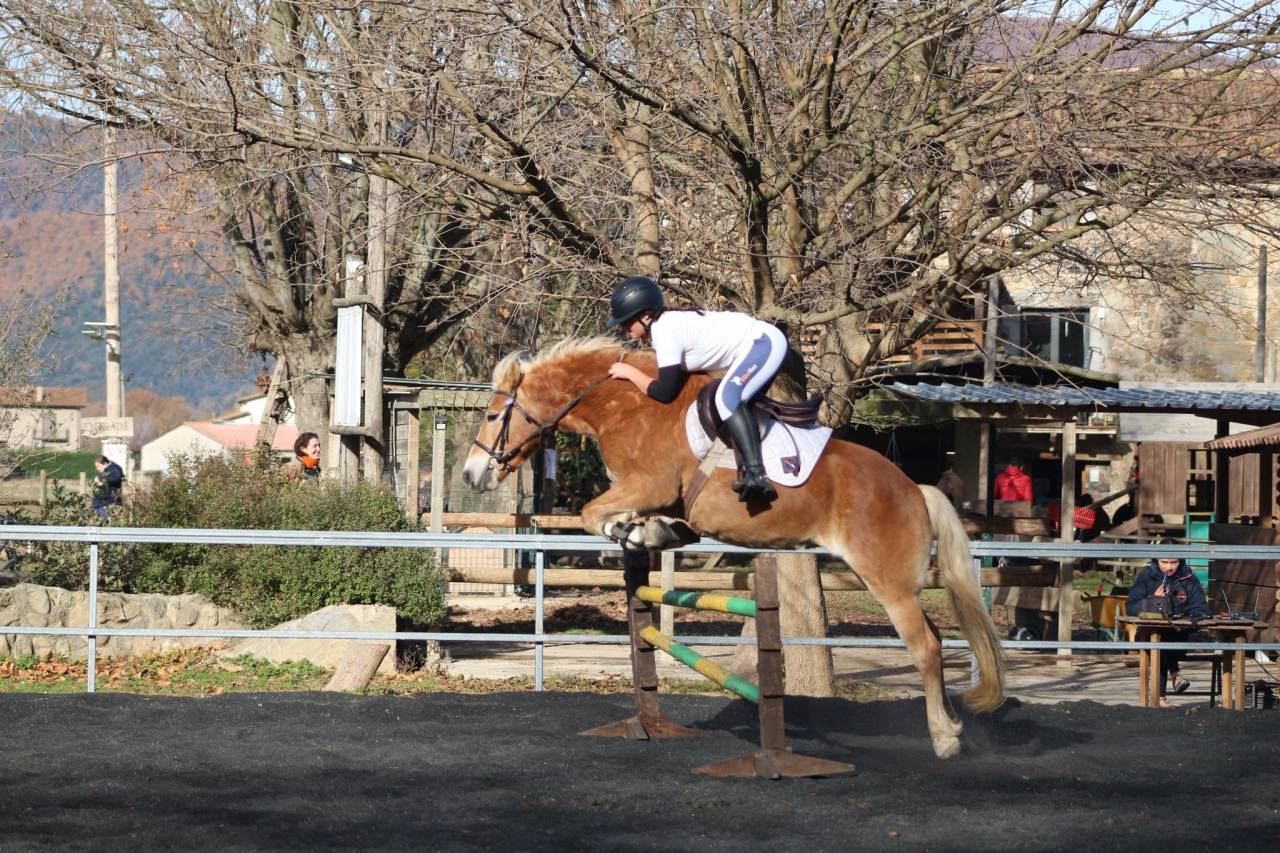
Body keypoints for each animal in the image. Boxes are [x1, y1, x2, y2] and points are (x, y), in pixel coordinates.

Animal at [462, 337, 1005, 759]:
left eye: (490, 414)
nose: (471, 474)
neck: (627, 405)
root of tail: (915, 489)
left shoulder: (650, 484)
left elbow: (590, 514)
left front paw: (635, 534)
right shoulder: (654, 495)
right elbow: (627, 519)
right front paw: (656, 533)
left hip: (886, 581)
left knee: (925, 646)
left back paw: (943, 740)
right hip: (901, 583)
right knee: (932, 638)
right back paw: (953, 727)